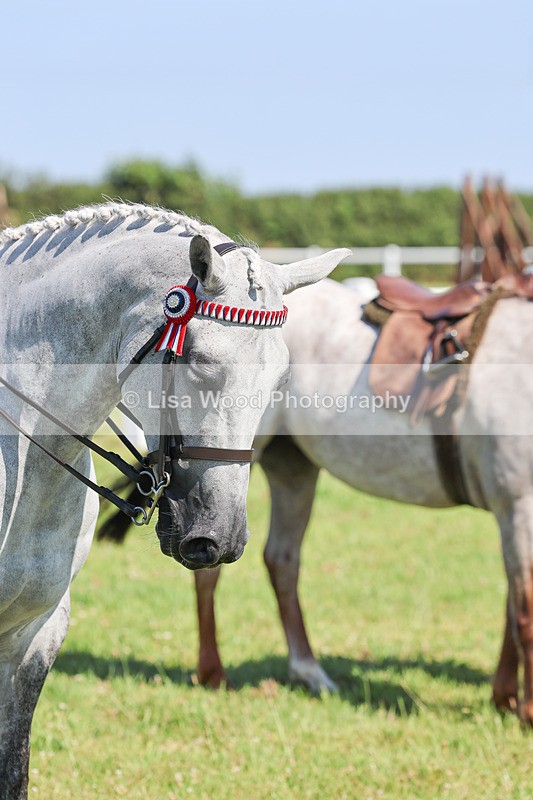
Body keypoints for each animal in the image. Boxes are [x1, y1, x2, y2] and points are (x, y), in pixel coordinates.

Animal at [186, 274, 533, 725]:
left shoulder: (513, 511)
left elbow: (513, 604)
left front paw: (505, 697)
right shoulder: (518, 505)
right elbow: (524, 610)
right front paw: (525, 709)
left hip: (293, 467)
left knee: (282, 560)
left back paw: (309, 672)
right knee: (210, 564)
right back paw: (213, 673)